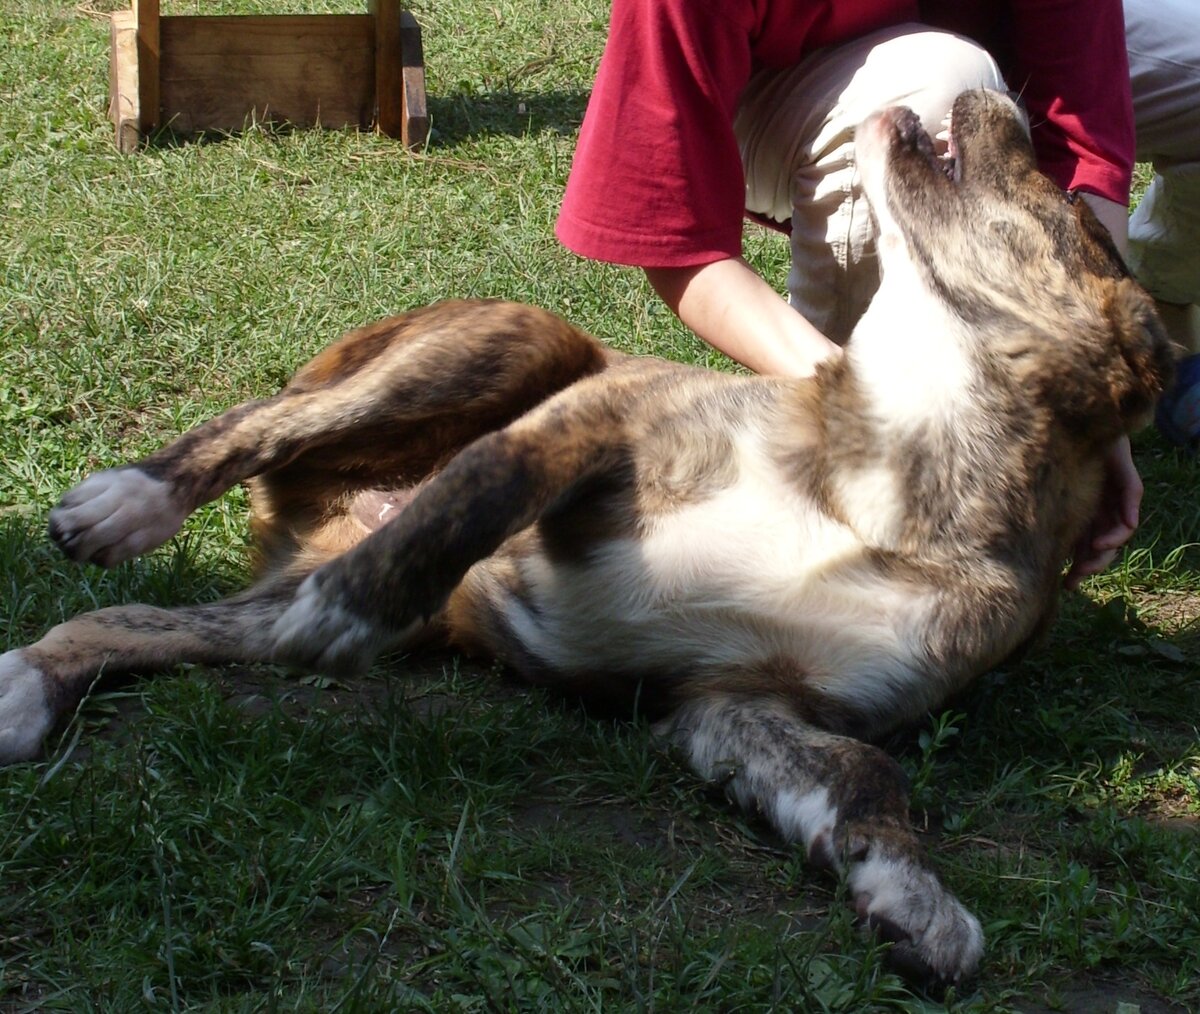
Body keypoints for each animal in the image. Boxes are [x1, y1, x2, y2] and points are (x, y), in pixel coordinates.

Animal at [0, 90, 1173, 983]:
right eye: (1081, 215)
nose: (1001, 100)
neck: (886, 472)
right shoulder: (600, 420)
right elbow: (488, 478)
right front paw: (358, 596)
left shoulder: (741, 704)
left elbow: (864, 781)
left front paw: (910, 892)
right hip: (507, 342)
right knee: (255, 428)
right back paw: (133, 504)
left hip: (273, 605)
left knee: (132, 619)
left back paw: (31, 683)